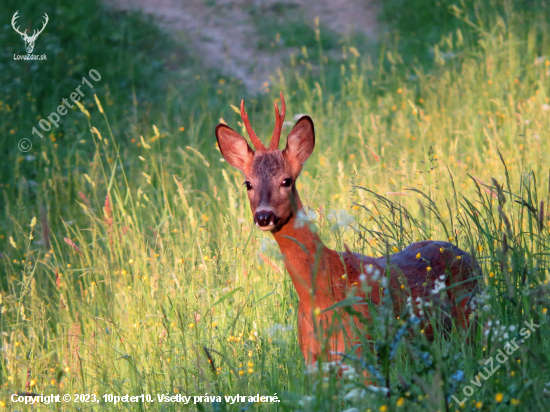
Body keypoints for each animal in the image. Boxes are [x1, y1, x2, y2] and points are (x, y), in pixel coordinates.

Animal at [218, 93, 480, 364]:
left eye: (286, 180)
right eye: (248, 183)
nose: (264, 216)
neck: (321, 296)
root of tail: (469, 257)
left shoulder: (360, 347)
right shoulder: (312, 360)